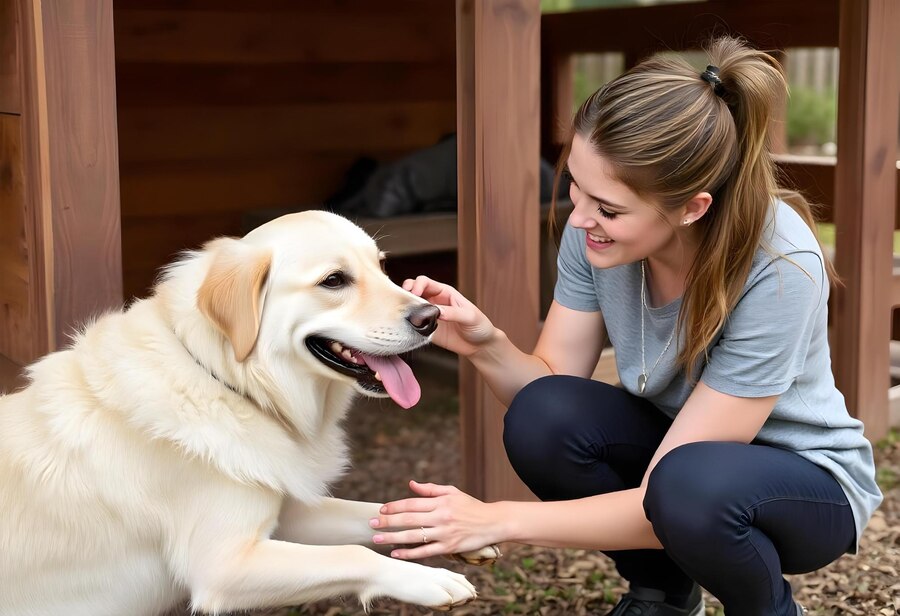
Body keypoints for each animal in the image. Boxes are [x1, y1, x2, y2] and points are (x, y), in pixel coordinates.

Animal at [0, 212, 492, 616]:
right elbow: (353, 553)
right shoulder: (224, 565)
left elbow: (378, 513)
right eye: (334, 280)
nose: (432, 316)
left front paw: (452, 524)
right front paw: (431, 579)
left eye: (383, 266)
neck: (226, 380)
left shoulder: (287, 514)